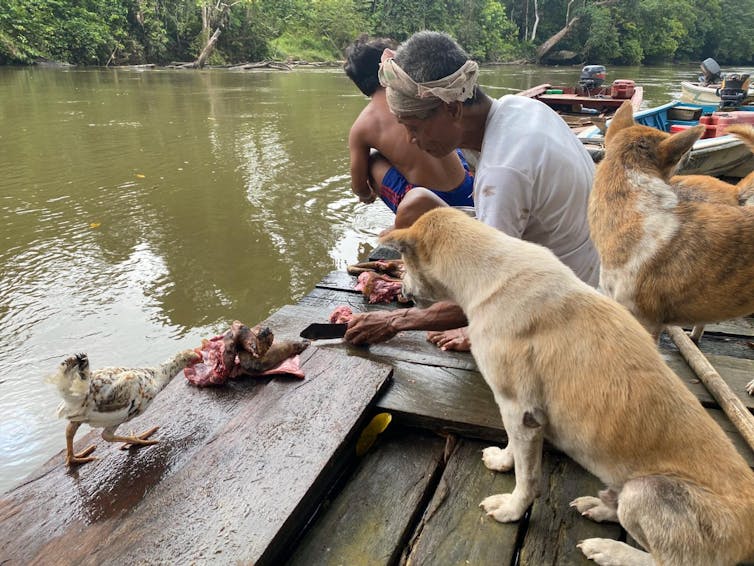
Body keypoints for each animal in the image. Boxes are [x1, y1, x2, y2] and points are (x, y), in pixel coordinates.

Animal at [382, 209, 752, 566]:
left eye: (403, 263)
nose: (400, 291)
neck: (488, 270)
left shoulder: (520, 409)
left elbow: (527, 477)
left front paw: (512, 509)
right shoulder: (518, 415)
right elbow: (514, 449)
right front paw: (503, 460)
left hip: (646, 490)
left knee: (667, 560)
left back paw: (609, 550)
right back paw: (602, 506)